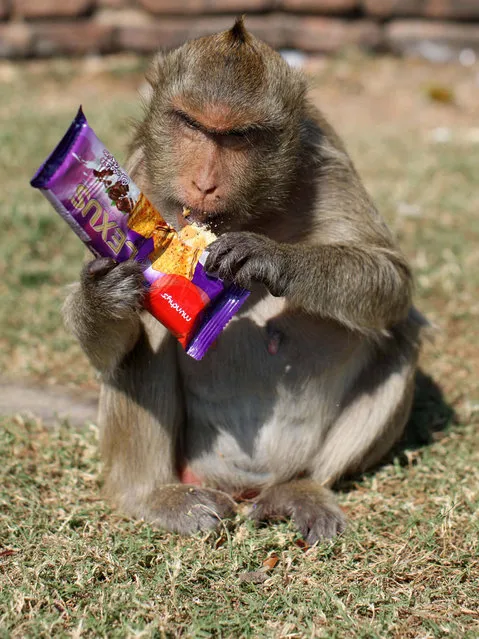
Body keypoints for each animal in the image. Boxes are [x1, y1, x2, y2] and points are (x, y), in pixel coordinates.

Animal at [62, 17, 426, 544]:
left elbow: (391, 280)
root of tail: (242, 483)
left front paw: (271, 259)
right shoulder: (140, 170)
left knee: (401, 331)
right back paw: (150, 496)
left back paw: (302, 490)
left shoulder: (327, 159)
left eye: (238, 138)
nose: (204, 183)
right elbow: (111, 344)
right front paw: (103, 295)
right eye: (192, 125)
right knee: (141, 339)